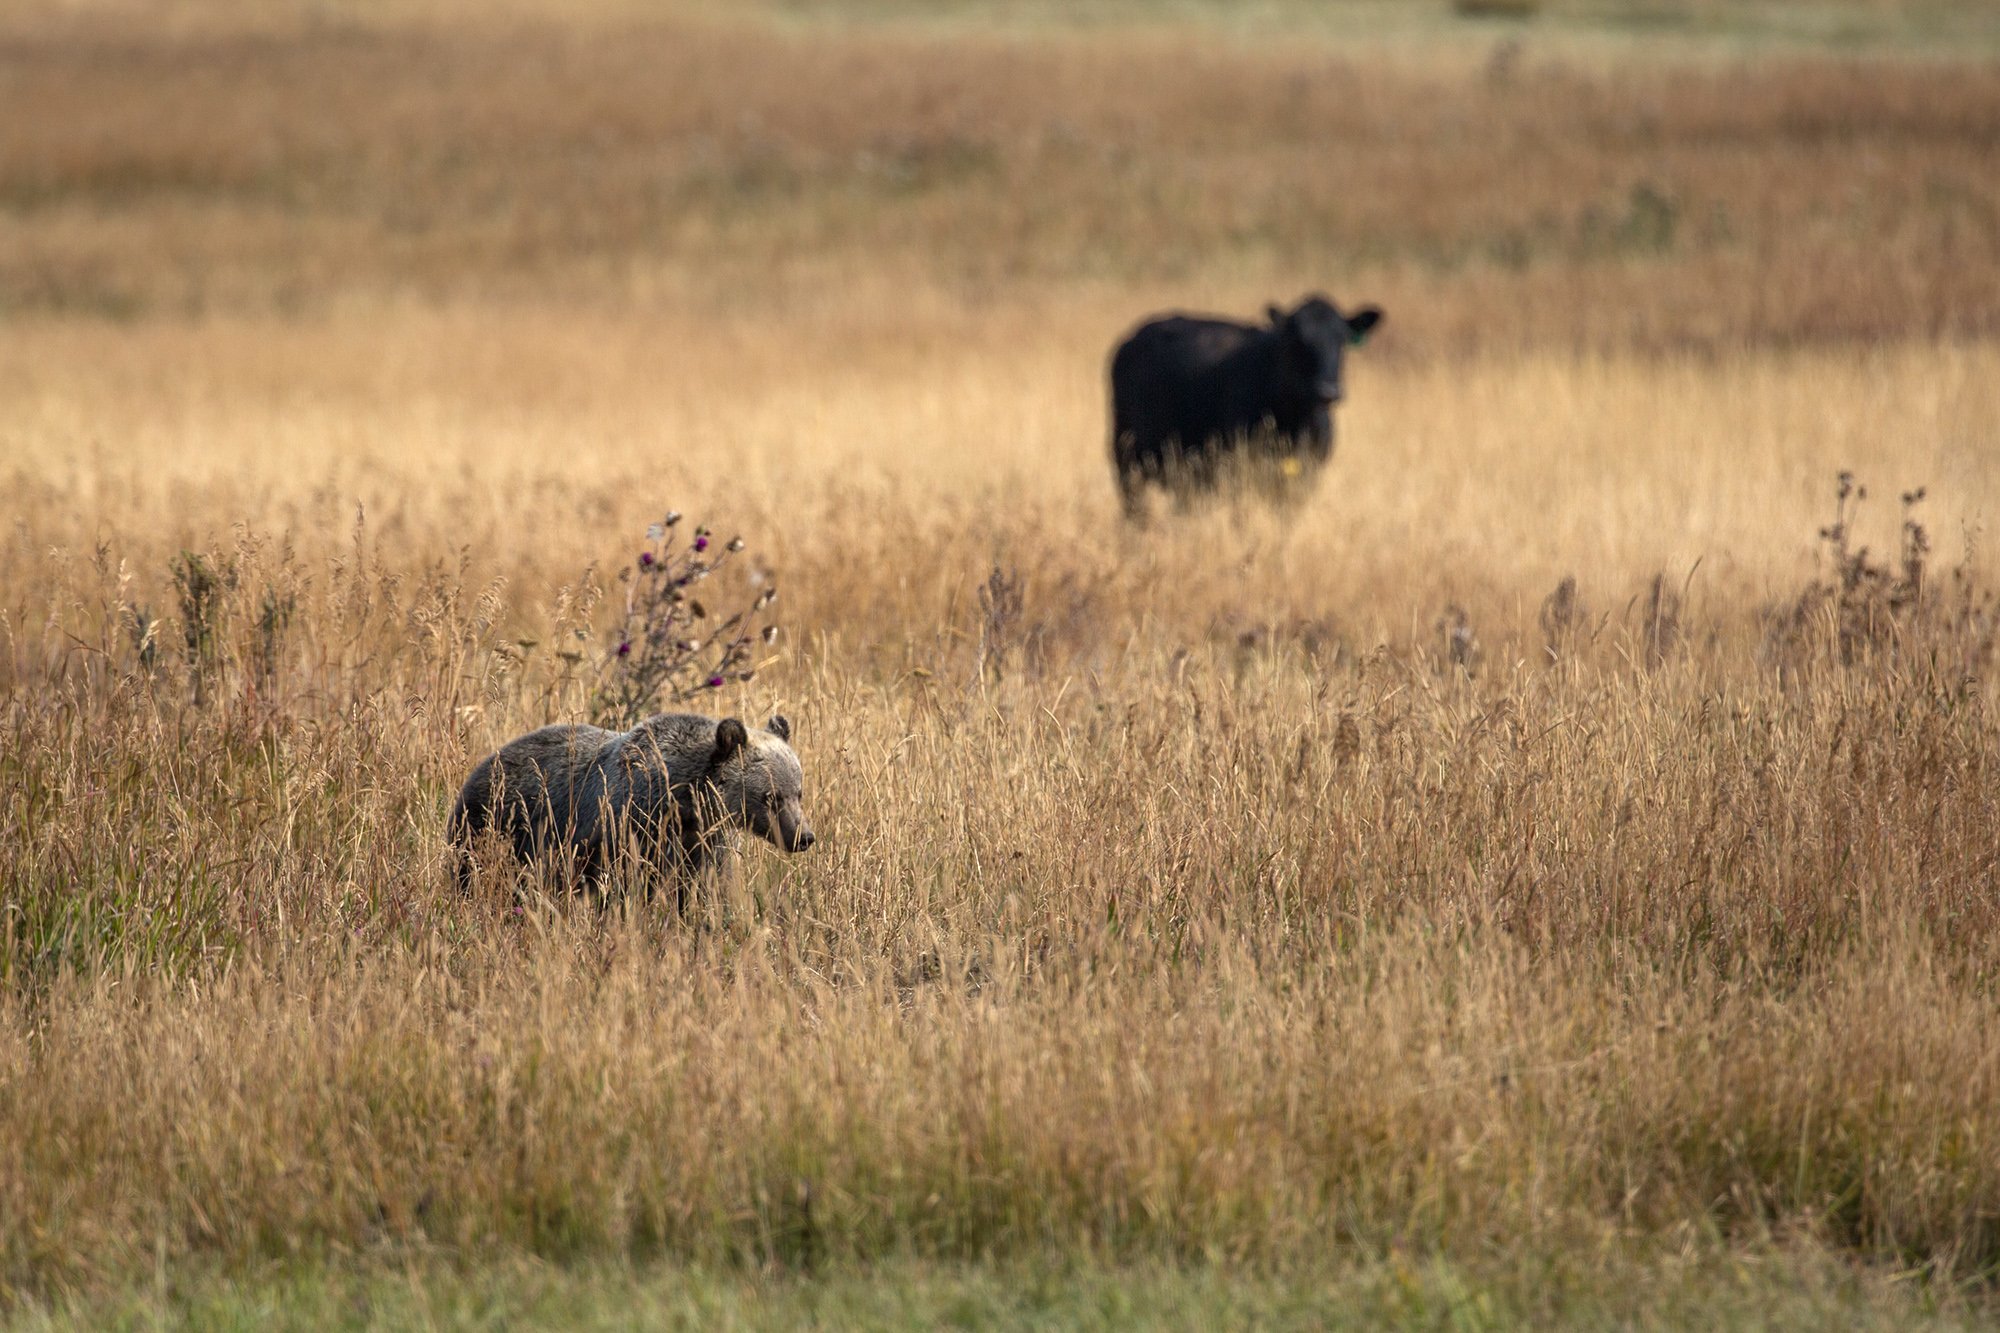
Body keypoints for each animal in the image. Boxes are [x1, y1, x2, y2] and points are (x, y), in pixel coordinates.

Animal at [448, 712, 813, 906]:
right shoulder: (628, 826)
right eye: (770, 797)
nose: (803, 836)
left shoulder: (704, 841)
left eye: (798, 792)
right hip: (493, 829)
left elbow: (705, 889)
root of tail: (484, 763)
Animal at [1108, 294, 1383, 519]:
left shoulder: (1307, 474)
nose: (1327, 391)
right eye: (1298, 341)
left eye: (1342, 339)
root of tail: (1133, 338)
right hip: (1126, 457)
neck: (1297, 420)